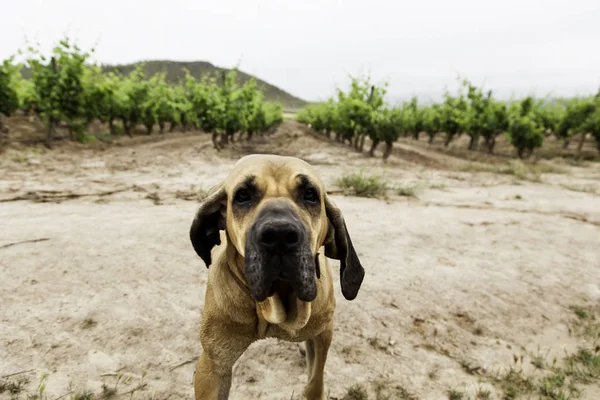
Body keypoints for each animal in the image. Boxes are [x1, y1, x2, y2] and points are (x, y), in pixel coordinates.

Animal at [190, 155, 364, 398]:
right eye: (242, 196)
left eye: (310, 194)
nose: (279, 235)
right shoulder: (213, 366)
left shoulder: (323, 335)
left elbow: (315, 382)